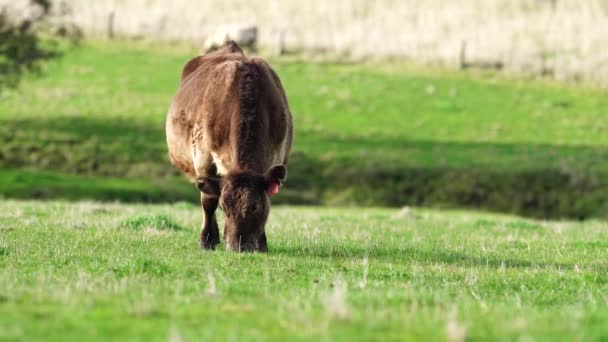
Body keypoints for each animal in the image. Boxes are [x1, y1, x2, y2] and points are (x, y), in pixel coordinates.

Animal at [165, 41, 290, 252]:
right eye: (224, 207)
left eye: (254, 206)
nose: (237, 247)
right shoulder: (203, 156)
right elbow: (209, 201)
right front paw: (207, 240)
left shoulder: (277, 154)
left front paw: (262, 244)